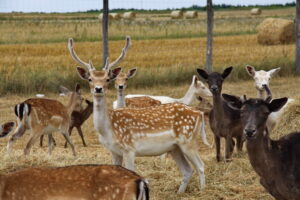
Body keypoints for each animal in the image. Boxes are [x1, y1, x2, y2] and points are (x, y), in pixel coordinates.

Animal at [68, 36, 209, 193]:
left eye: (107, 79)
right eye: (90, 79)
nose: (98, 89)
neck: (108, 130)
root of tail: (199, 113)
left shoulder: (130, 148)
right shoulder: (114, 151)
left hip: (188, 140)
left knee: (201, 166)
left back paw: (202, 191)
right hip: (175, 147)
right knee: (187, 170)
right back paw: (179, 193)